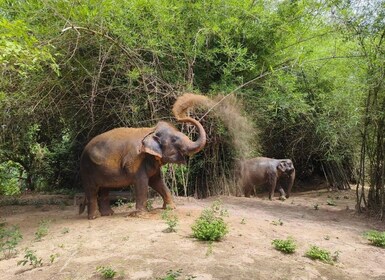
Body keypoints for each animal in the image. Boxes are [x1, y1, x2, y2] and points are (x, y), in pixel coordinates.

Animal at [79, 94, 208, 219]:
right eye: (175, 139)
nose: (182, 109)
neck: (151, 130)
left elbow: (157, 182)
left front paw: (170, 208)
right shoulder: (136, 160)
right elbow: (142, 183)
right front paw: (141, 215)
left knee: (104, 189)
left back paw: (108, 214)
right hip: (86, 169)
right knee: (92, 190)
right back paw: (94, 217)